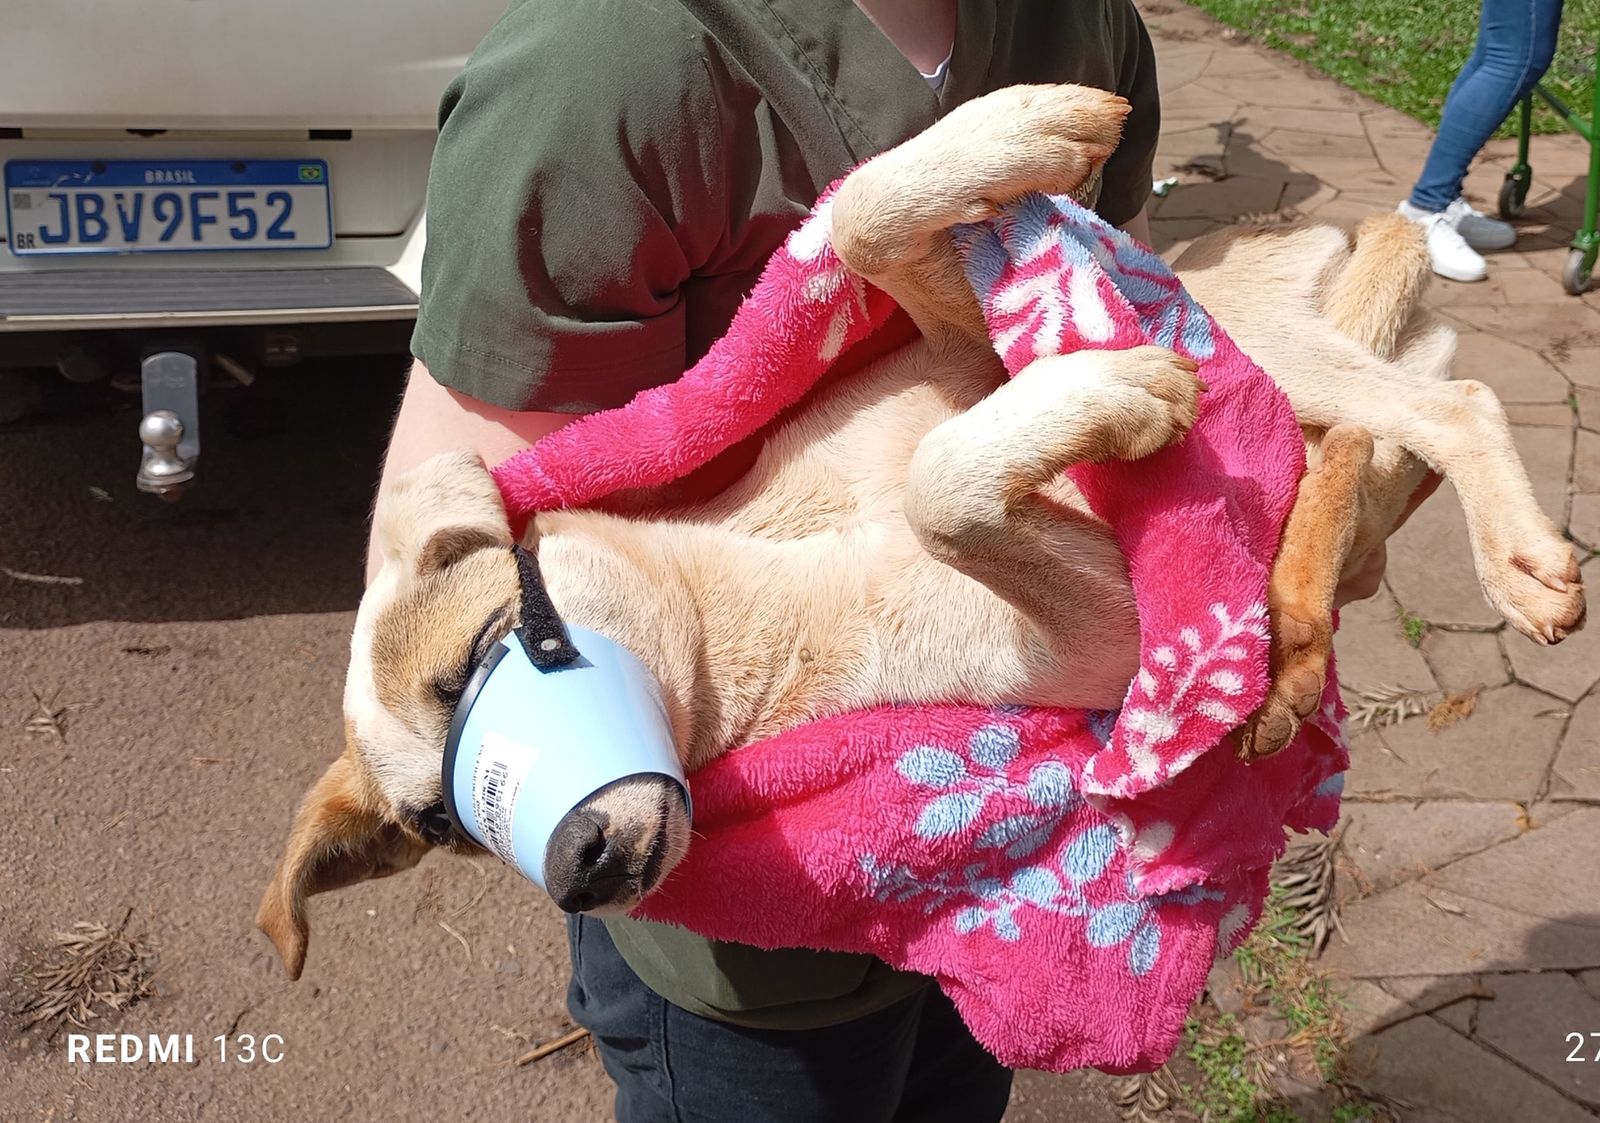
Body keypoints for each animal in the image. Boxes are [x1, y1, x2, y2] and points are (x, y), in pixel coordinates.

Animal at [256, 85, 1580, 985]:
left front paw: (1014, 137)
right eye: (436, 829)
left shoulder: (952, 348)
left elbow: (860, 229)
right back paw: (1314, 626)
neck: (763, 555)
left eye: (473, 658)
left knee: (1439, 401)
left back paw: (1485, 562)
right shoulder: (1115, 638)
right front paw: (1110, 395)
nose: (582, 866)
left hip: (1251, 329)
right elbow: (952, 491)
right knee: (1391, 424)